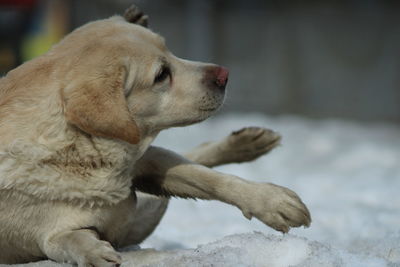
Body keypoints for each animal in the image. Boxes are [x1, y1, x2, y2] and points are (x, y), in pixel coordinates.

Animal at [0, 4, 310, 267]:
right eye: (162, 75)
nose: (225, 75)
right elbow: (71, 238)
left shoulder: (143, 160)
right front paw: (96, 252)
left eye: (170, 52)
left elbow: (207, 178)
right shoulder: (51, 236)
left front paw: (271, 201)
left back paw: (244, 144)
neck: (80, 148)